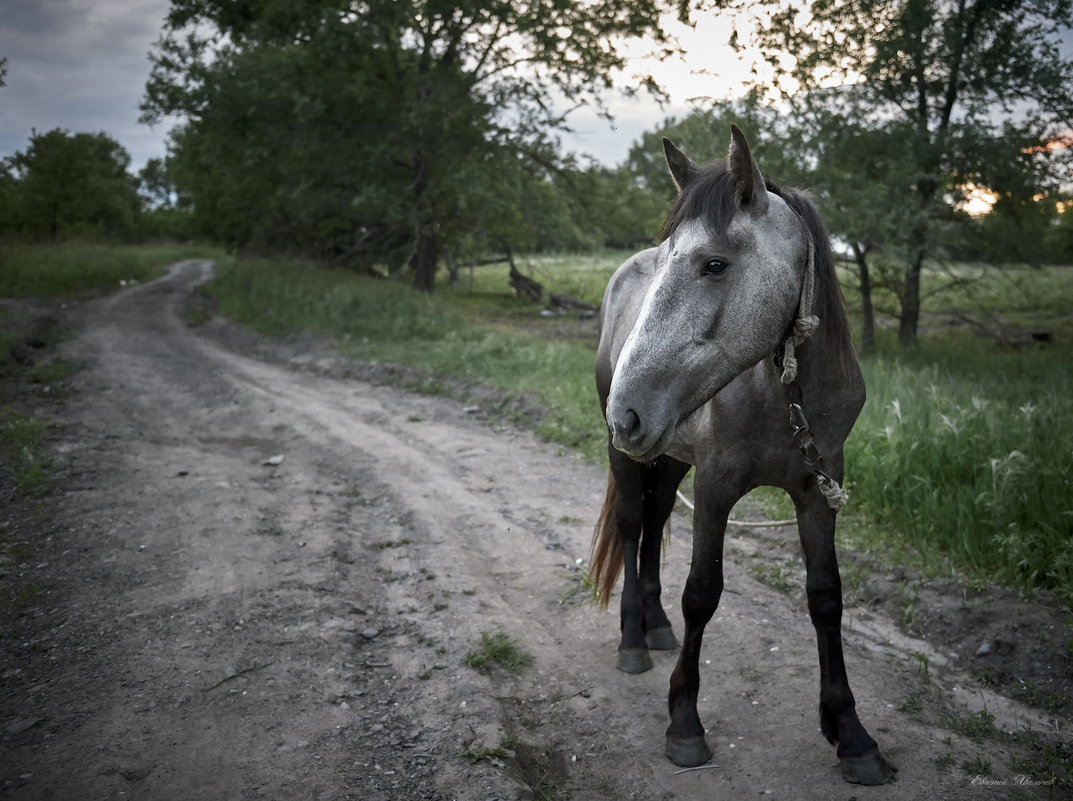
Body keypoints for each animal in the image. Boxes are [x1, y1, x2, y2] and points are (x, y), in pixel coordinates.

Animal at [588, 128, 897, 784]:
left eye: (714, 264)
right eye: (669, 263)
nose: (627, 412)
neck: (784, 395)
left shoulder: (819, 488)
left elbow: (826, 597)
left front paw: (851, 733)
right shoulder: (715, 487)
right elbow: (702, 593)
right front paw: (684, 724)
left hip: (667, 456)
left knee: (654, 521)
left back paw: (655, 627)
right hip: (631, 459)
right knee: (631, 526)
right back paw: (633, 641)